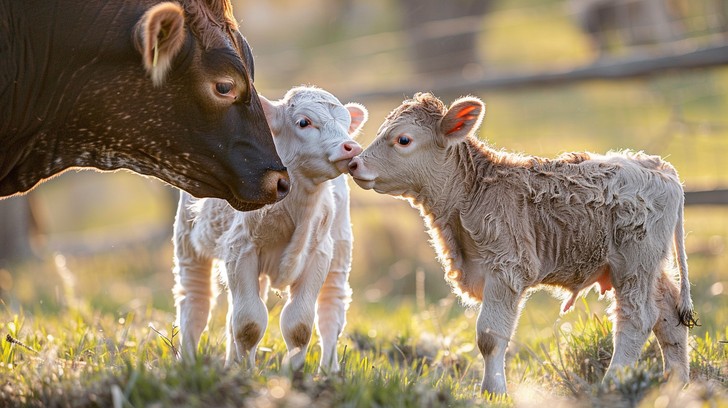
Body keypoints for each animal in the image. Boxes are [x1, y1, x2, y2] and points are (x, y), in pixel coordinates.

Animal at [173, 86, 366, 372]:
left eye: (345, 123)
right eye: (304, 122)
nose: (351, 146)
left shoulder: (319, 254)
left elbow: (299, 325)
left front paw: (293, 372)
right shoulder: (240, 250)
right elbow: (249, 323)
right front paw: (246, 372)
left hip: (341, 247)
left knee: (331, 307)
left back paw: (328, 371)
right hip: (188, 241)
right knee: (195, 302)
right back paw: (188, 363)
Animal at [348, 92, 697, 395]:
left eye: (403, 139)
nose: (354, 163)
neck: (470, 196)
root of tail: (658, 166)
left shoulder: (507, 268)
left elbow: (489, 336)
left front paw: (493, 392)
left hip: (635, 264)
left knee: (637, 319)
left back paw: (612, 384)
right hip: (651, 267)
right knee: (669, 318)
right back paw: (675, 384)